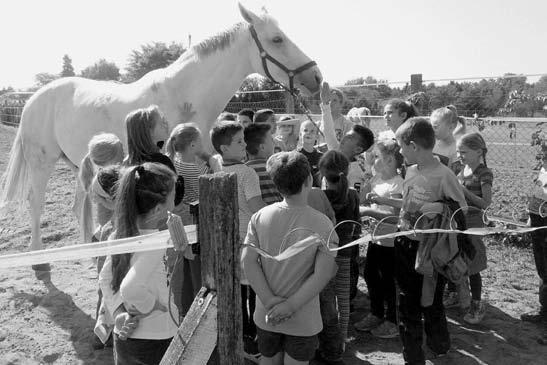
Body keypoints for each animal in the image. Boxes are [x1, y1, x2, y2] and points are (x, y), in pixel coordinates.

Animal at [0, 2, 322, 253]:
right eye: (277, 39)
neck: (185, 95)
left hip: (77, 163)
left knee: (80, 204)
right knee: (36, 201)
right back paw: (38, 256)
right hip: (42, 162)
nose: (317, 77)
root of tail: (33, 99)